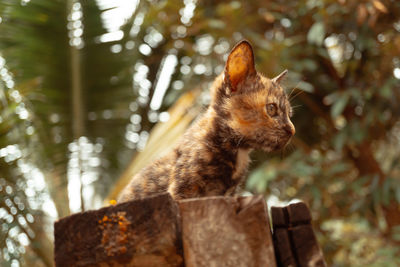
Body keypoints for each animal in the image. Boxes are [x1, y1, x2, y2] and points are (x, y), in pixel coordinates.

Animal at [117, 39, 296, 202]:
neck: (238, 151)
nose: (292, 131)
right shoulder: (183, 192)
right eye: (271, 109)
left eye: (289, 114)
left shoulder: (227, 195)